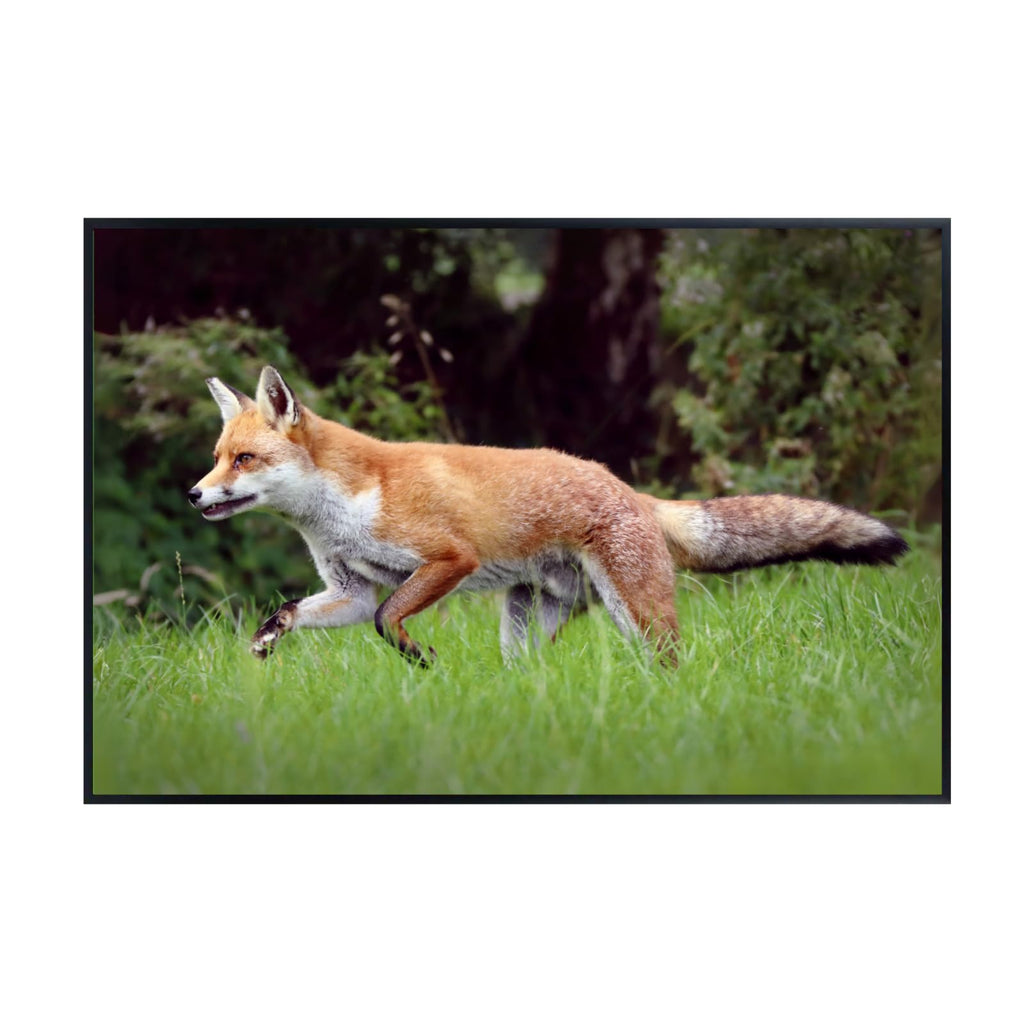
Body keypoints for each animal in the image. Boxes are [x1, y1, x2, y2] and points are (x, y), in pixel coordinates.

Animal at [188, 366, 908, 667]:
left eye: (244, 460)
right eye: (217, 458)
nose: (195, 495)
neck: (343, 508)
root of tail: (633, 492)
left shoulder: (449, 558)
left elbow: (390, 621)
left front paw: (421, 659)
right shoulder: (351, 588)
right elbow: (299, 611)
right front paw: (266, 640)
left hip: (638, 614)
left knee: (672, 664)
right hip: (527, 618)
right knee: (527, 675)